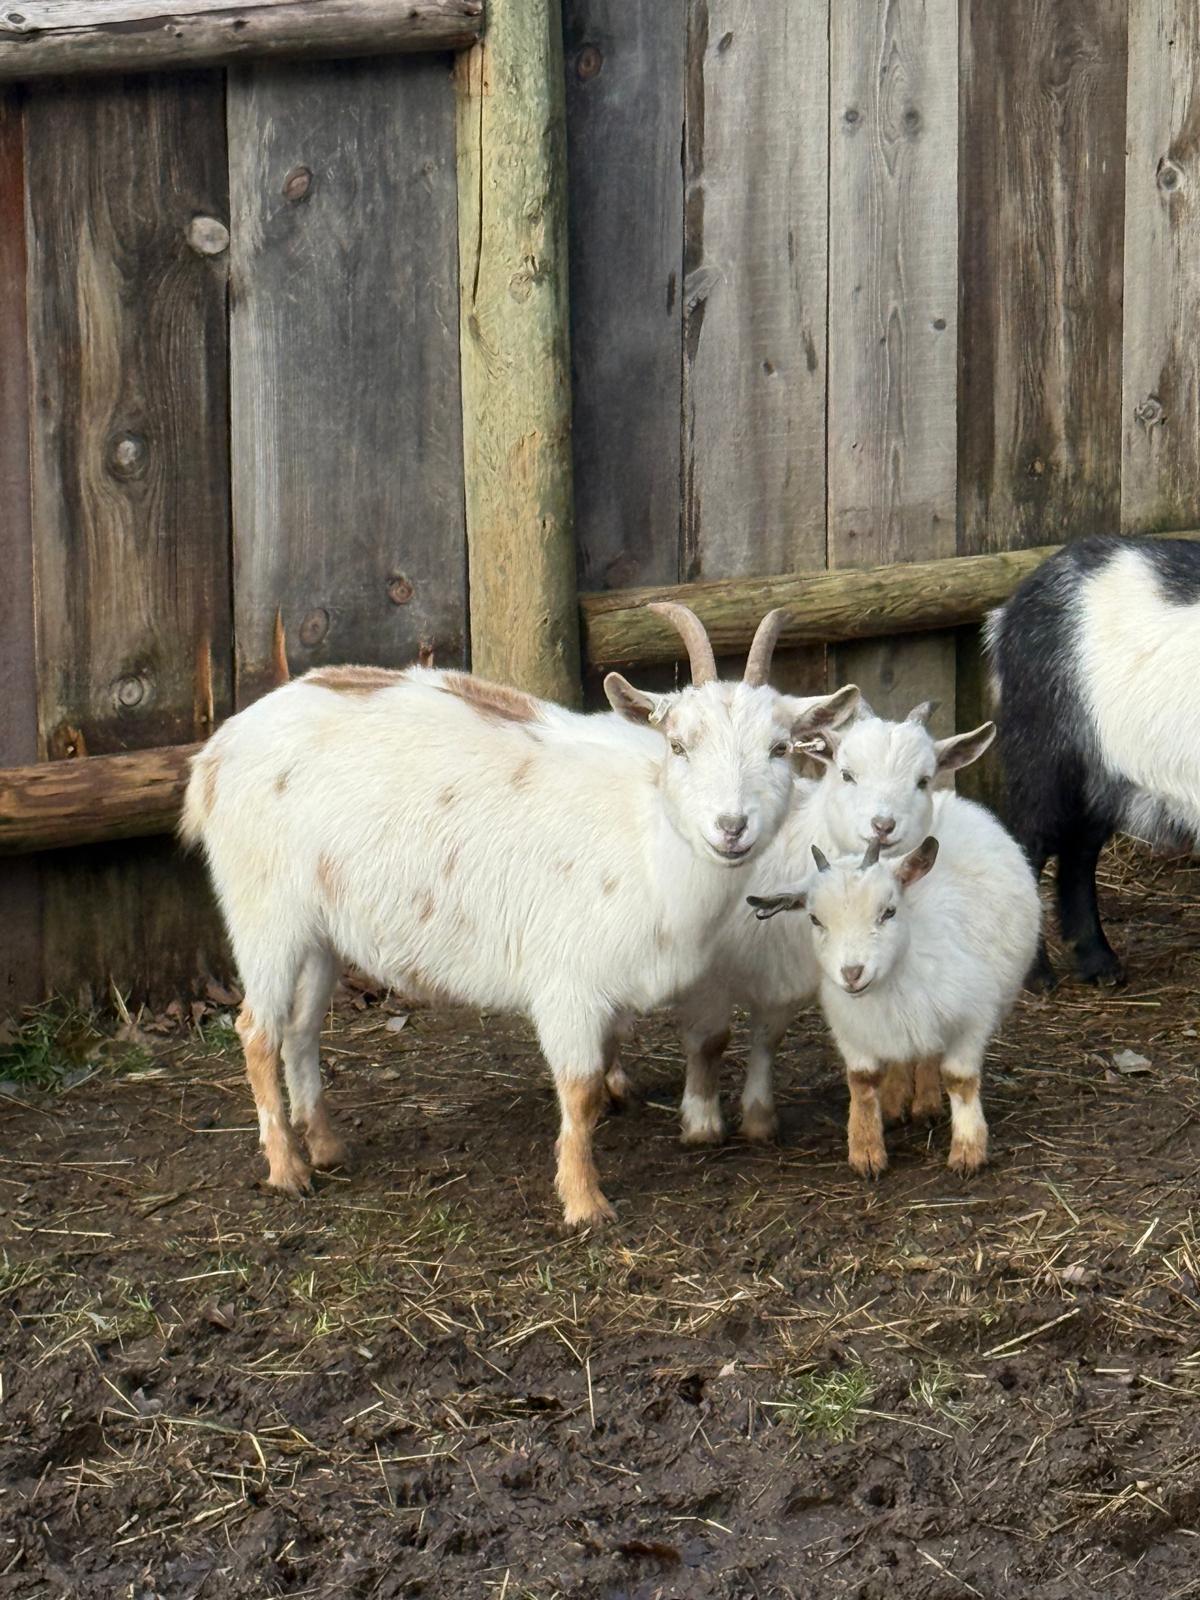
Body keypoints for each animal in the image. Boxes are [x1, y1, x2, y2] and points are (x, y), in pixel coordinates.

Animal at [181, 605, 858, 1228]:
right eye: (678, 744)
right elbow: (579, 1088)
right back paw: (286, 1169)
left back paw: (325, 1146)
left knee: (300, 1028)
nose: (731, 827)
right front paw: (585, 1203)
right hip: (264, 912)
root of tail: (215, 755)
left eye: (779, 748)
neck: (649, 837)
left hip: (320, 928)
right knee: (257, 1030)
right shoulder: (567, 979)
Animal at [675, 704, 995, 1146]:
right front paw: (702, 1122)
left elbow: (768, 1038)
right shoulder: (706, 974)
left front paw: (759, 1118)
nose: (883, 826)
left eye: (924, 780)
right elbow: (709, 1040)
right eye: (847, 773)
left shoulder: (785, 974)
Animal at [749, 795, 1040, 1176]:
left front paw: (967, 1152)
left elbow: (959, 1079)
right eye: (814, 919)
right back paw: (894, 1100)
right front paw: (865, 1151)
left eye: (888, 911)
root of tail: (950, 800)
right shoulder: (852, 1028)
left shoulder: (971, 1019)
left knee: (929, 1054)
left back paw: (926, 1104)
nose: (852, 972)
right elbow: (862, 1080)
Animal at [986, 534, 1200, 987]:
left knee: (1078, 855)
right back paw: (1038, 974)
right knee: (1030, 843)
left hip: (1102, 775)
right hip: (1045, 754)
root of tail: (1008, 613)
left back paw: (1098, 961)